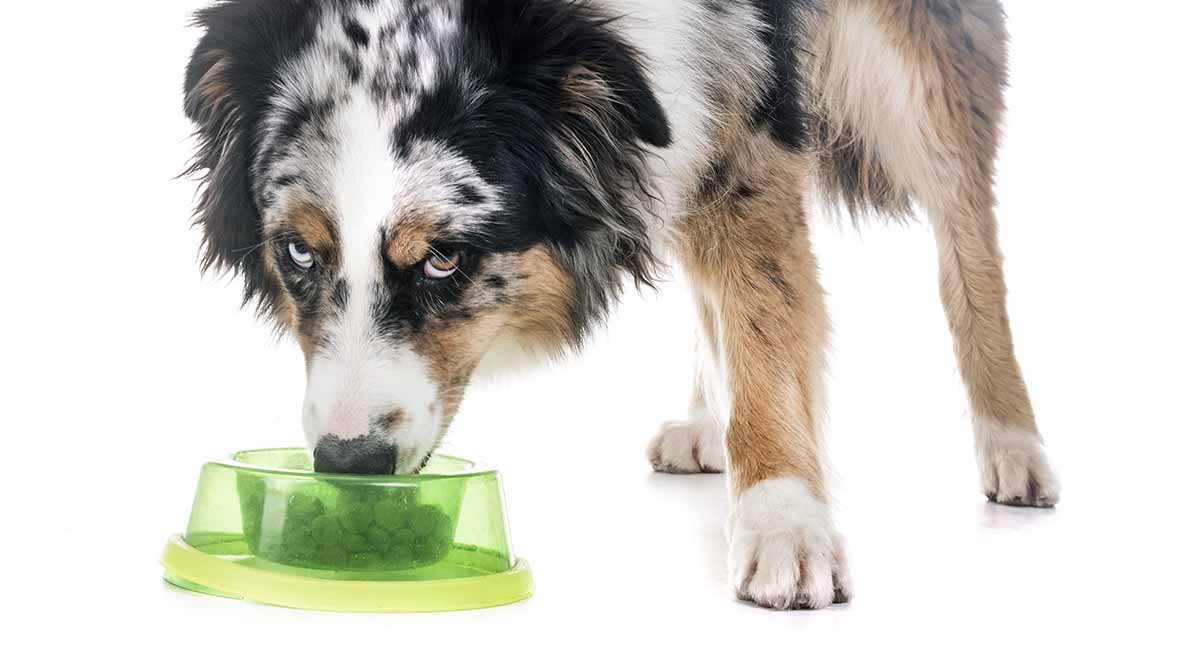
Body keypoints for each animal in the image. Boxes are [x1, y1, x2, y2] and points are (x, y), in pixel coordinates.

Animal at [180, 0, 1060, 611]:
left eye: (443, 257)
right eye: (298, 251)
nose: (347, 462)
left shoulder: (747, 101)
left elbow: (766, 320)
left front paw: (783, 523)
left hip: (916, 70)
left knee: (966, 238)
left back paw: (1012, 443)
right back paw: (706, 422)